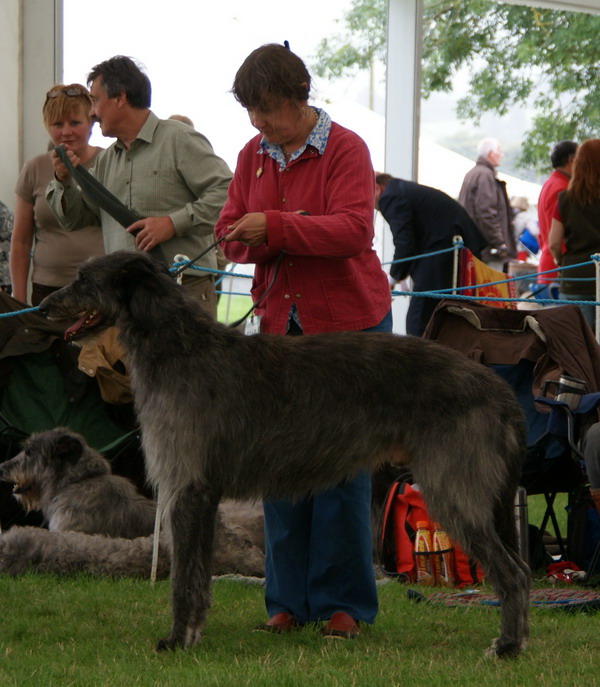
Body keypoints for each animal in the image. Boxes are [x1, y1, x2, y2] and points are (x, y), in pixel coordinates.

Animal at [38, 250, 528, 660]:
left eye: (84, 278)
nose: (42, 307)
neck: (177, 346)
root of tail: (499, 389)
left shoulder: (189, 489)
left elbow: (182, 579)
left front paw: (177, 640)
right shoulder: (201, 496)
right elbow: (197, 576)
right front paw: (194, 634)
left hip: (453, 487)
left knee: (514, 571)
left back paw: (507, 646)